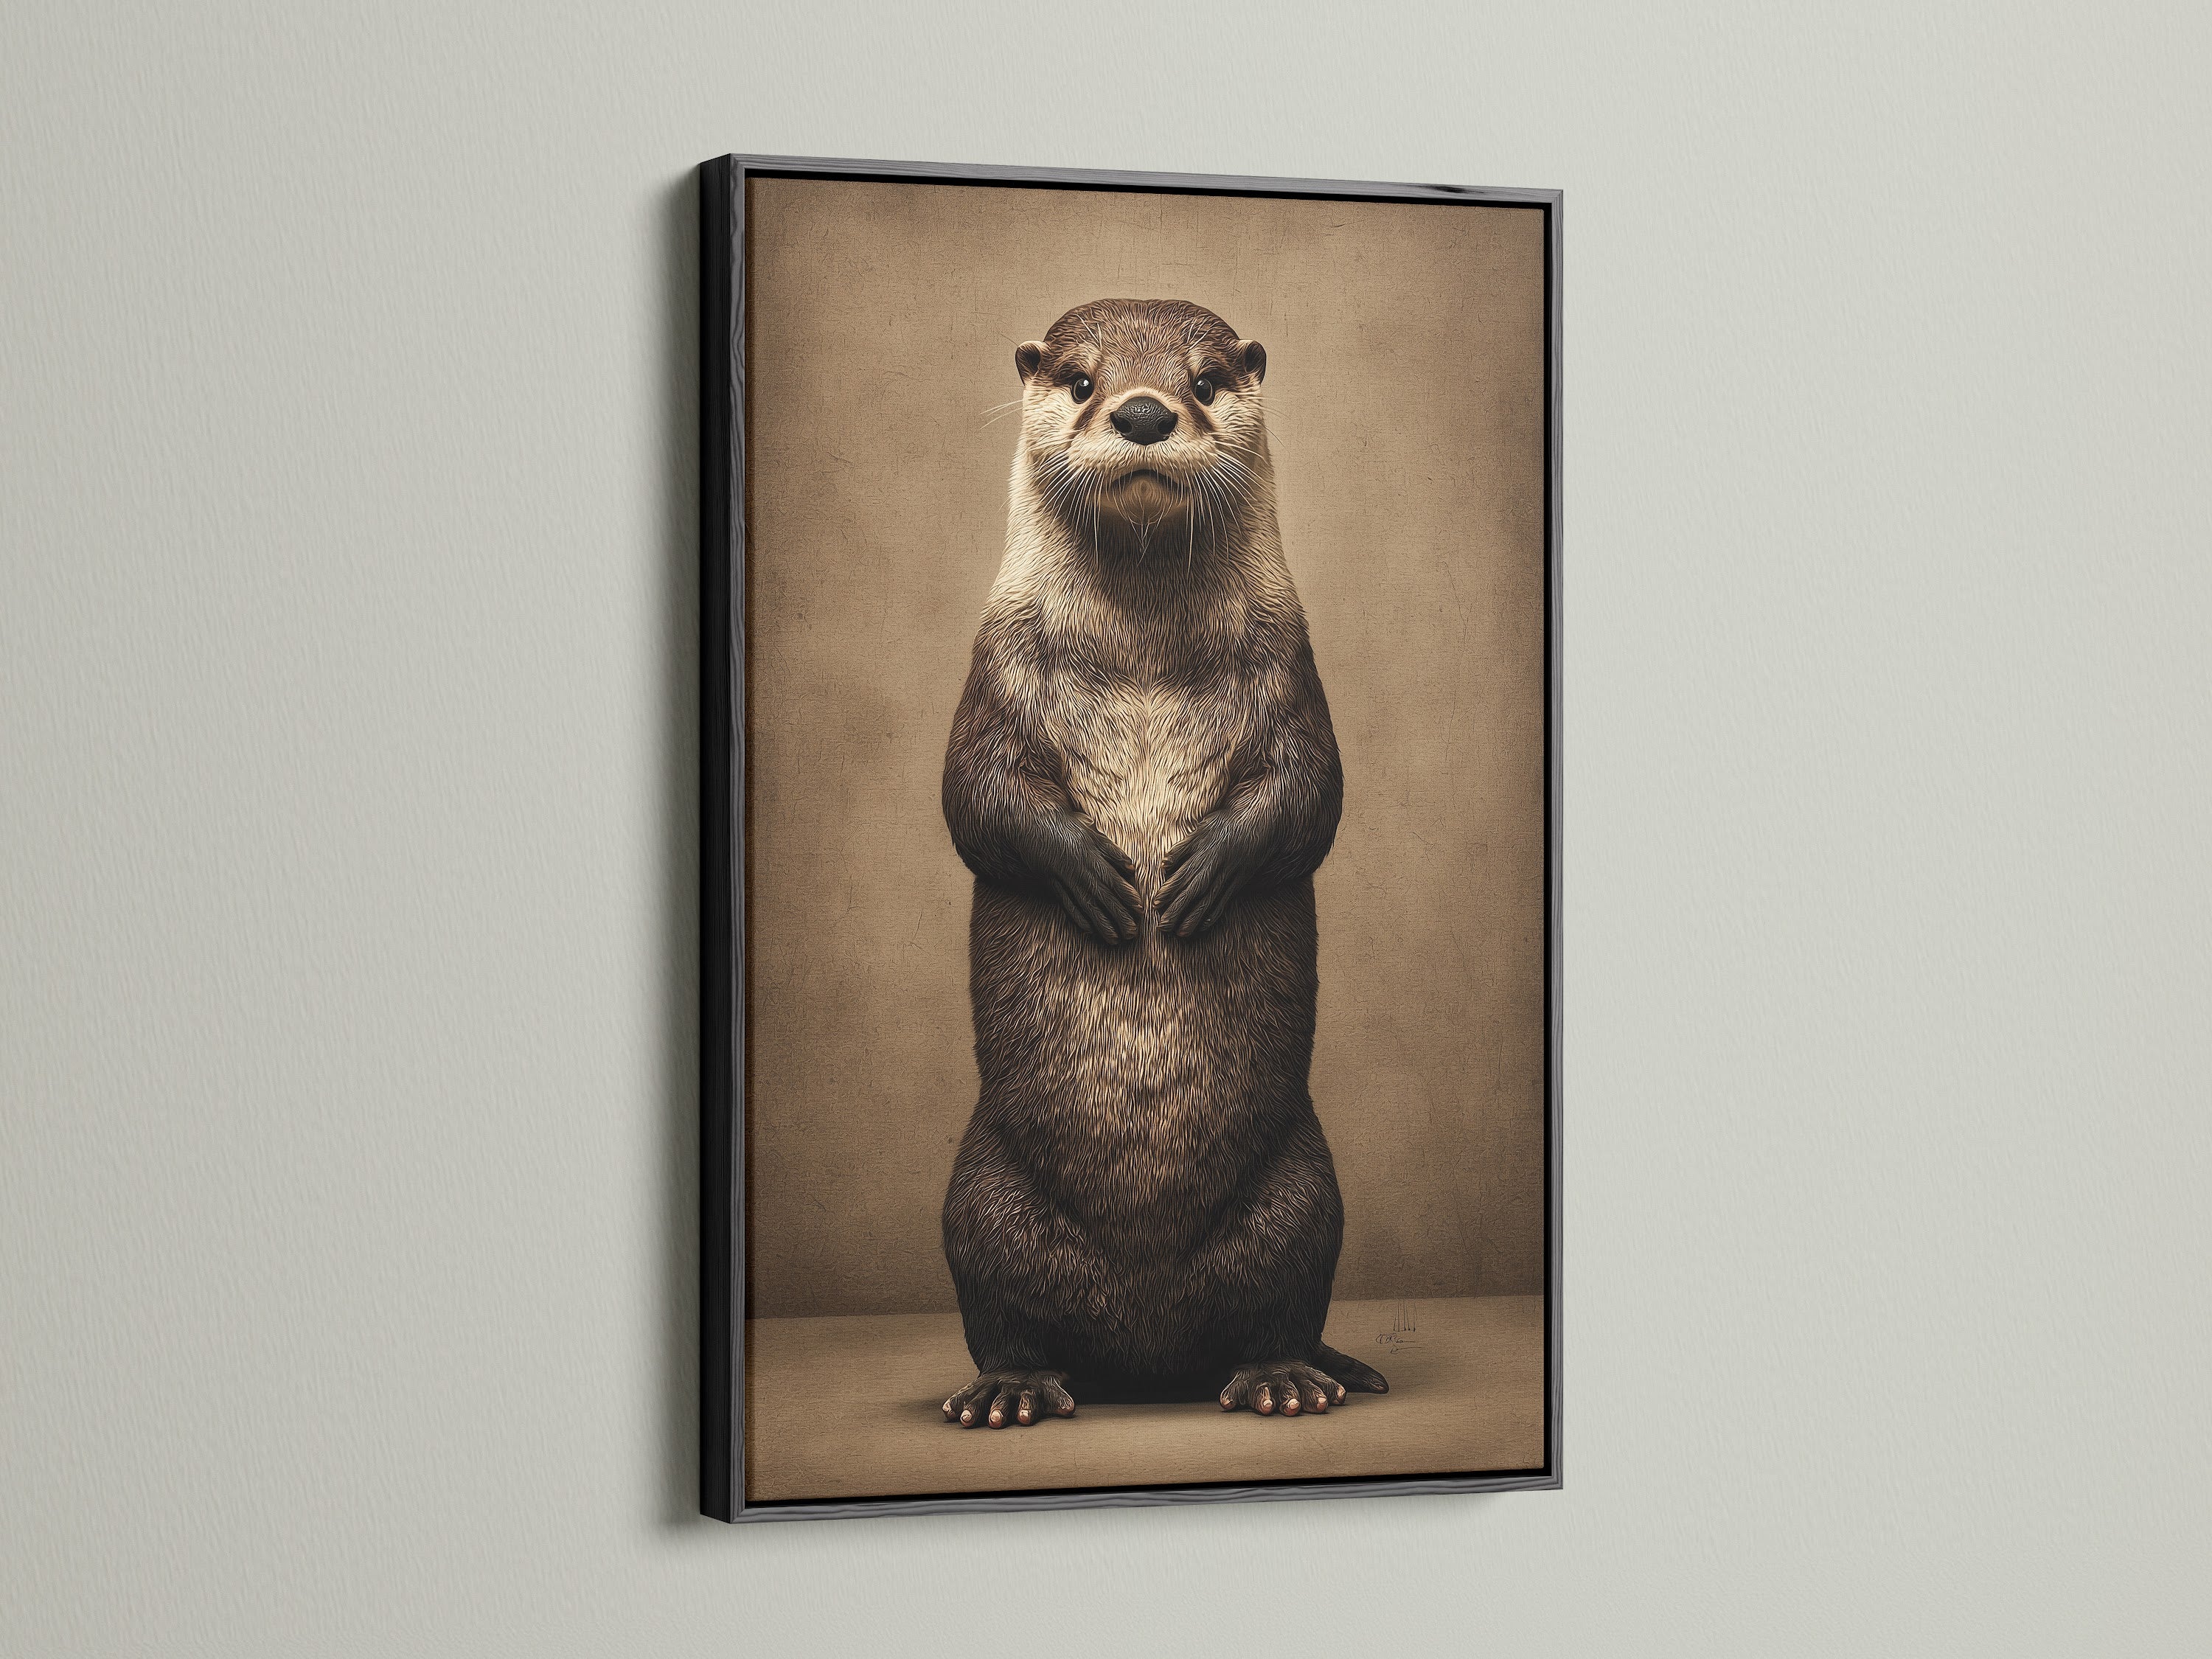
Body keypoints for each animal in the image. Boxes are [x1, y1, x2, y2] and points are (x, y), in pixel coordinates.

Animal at [938, 298, 1386, 1431]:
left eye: (1208, 381)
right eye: (1082, 380)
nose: (1144, 413)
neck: (1139, 658)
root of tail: (1146, 1356)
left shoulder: (1292, 670)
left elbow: (1312, 796)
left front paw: (1201, 873)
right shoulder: (992, 672)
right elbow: (974, 800)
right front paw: (1096, 876)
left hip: (1304, 1189)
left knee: (1281, 1302)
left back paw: (1285, 1378)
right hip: (980, 1195)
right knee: (1001, 1311)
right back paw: (1009, 1389)